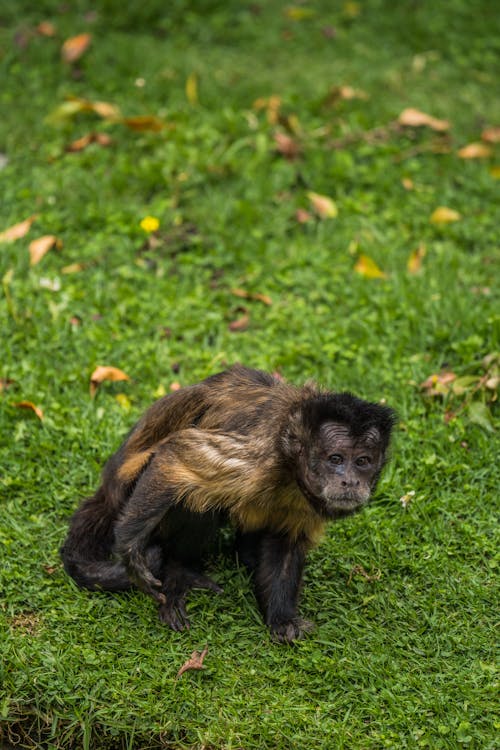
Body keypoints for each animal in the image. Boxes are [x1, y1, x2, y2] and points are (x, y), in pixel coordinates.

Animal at [60, 368, 396, 644]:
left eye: (363, 461)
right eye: (336, 459)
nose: (350, 481)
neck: (289, 462)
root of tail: (109, 488)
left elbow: (285, 544)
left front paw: (281, 619)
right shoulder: (260, 456)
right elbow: (175, 458)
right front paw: (131, 550)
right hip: (131, 489)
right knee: (195, 500)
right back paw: (182, 572)